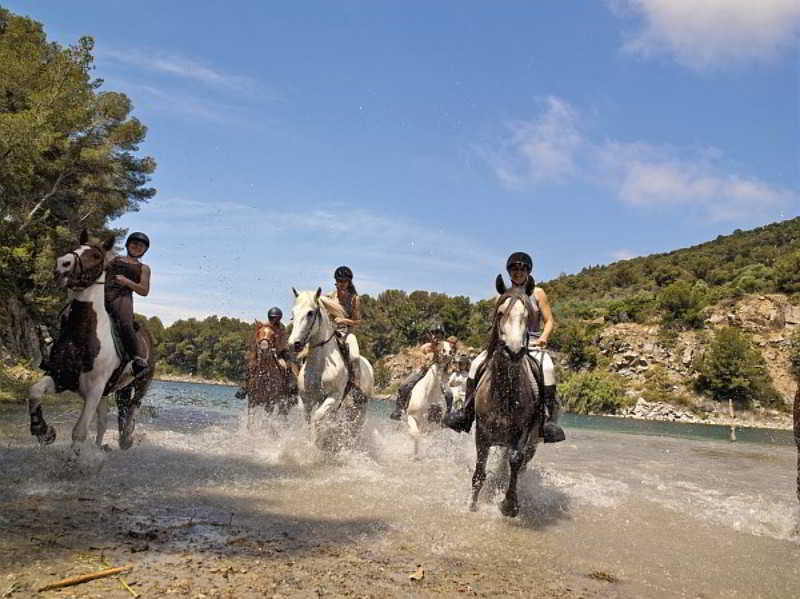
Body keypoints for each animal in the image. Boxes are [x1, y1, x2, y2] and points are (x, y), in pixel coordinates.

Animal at [26, 232, 154, 458]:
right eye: (76, 247)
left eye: (95, 255)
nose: (62, 264)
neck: (83, 334)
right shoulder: (61, 377)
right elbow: (34, 392)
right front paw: (43, 431)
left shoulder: (94, 389)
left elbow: (79, 431)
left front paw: (73, 461)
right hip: (110, 392)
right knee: (104, 421)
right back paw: (100, 447)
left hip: (140, 385)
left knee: (132, 409)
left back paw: (126, 439)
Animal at [288, 288, 376, 452]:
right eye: (293, 313)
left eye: (310, 313)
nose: (294, 344)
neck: (321, 366)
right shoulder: (306, 399)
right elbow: (308, 420)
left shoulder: (333, 397)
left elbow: (317, 418)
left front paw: (317, 444)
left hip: (360, 409)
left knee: (354, 430)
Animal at [466, 276, 548, 516]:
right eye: (500, 313)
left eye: (527, 315)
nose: (513, 351)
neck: (505, 392)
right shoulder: (482, 433)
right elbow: (479, 472)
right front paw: (472, 505)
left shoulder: (523, 433)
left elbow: (515, 461)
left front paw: (509, 504)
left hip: (533, 443)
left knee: (519, 466)